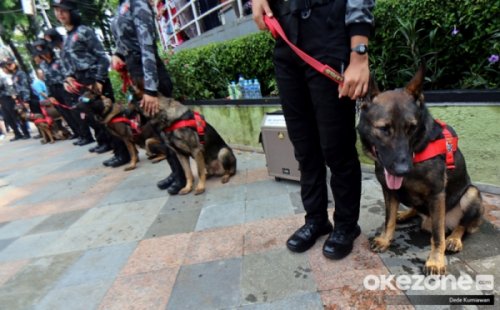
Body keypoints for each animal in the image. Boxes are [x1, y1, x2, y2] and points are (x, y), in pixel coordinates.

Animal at [360, 65, 484, 274]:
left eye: (411, 128)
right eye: (384, 129)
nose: (402, 170)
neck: (416, 152)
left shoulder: (437, 195)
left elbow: (437, 234)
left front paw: (435, 261)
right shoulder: (389, 190)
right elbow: (389, 219)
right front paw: (385, 239)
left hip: (471, 193)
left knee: (462, 225)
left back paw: (454, 239)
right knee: (415, 210)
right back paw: (405, 214)